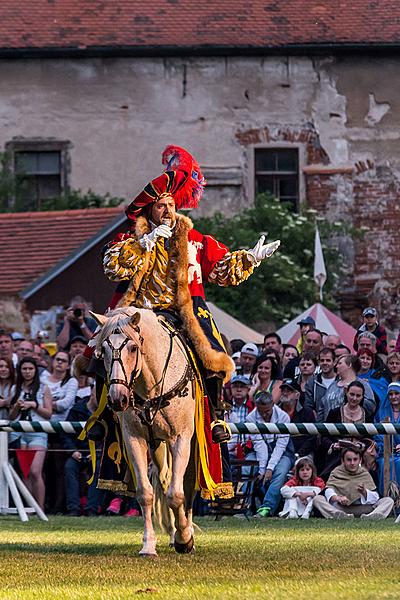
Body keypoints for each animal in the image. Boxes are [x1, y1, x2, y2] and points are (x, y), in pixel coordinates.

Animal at [90, 310, 197, 556]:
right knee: (164, 480)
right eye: (103, 350)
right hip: (156, 444)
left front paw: (185, 539)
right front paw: (149, 544)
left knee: (185, 486)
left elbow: (177, 494)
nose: (117, 398)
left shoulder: (181, 439)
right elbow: (146, 493)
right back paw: (172, 533)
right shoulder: (134, 440)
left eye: (133, 347)